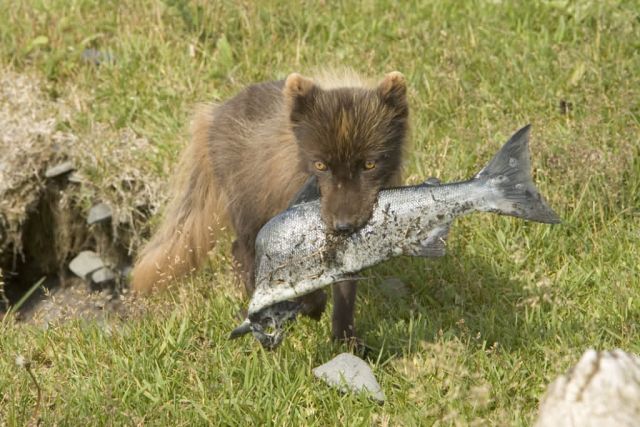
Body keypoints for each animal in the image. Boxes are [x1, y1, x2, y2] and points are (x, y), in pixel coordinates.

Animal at [130, 70, 410, 341]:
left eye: (370, 164)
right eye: (320, 165)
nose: (343, 226)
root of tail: (215, 114)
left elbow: (344, 292)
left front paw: (345, 340)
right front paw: (310, 306)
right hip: (248, 213)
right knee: (242, 253)